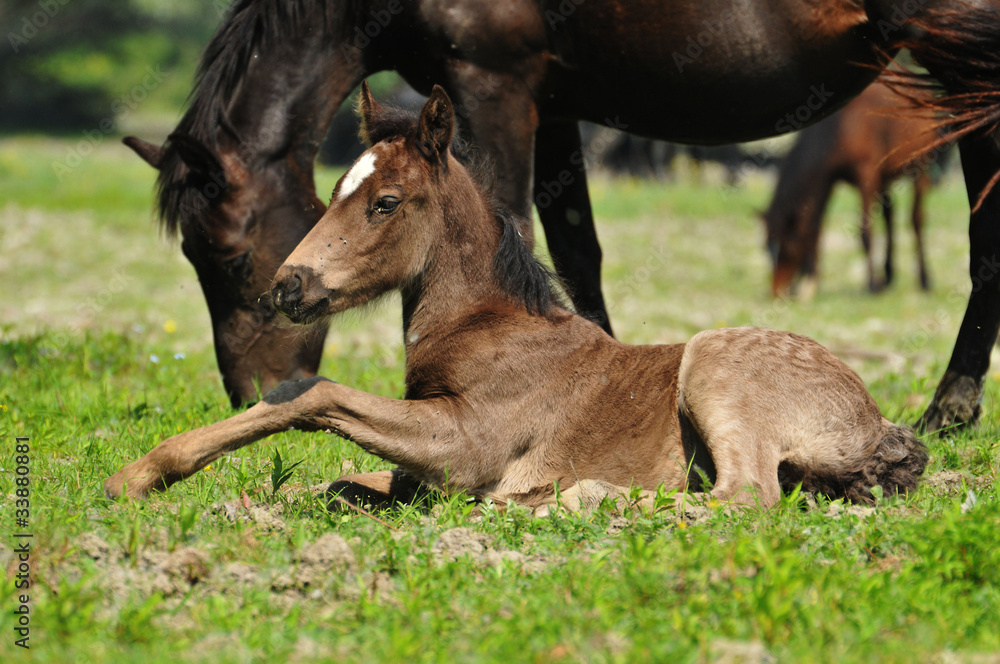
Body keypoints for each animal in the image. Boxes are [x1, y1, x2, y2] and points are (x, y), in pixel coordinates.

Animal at [105, 85, 924, 510]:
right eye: (334, 190)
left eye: (385, 202)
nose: (289, 284)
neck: (490, 329)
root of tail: (874, 420)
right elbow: (340, 478)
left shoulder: (465, 446)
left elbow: (313, 395)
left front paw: (141, 473)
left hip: (714, 371)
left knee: (743, 495)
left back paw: (574, 497)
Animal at [764, 78, 944, 298]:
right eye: (767, 248)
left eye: (790, 247)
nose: (776, 291)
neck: (838, 127)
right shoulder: (829, 181)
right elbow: (817, 226)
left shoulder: (867, 177)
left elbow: (865, 232)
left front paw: (872, 284)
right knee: (889, 217)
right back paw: (889, 275)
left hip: (920, 166)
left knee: (916, 219)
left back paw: (924, 279)